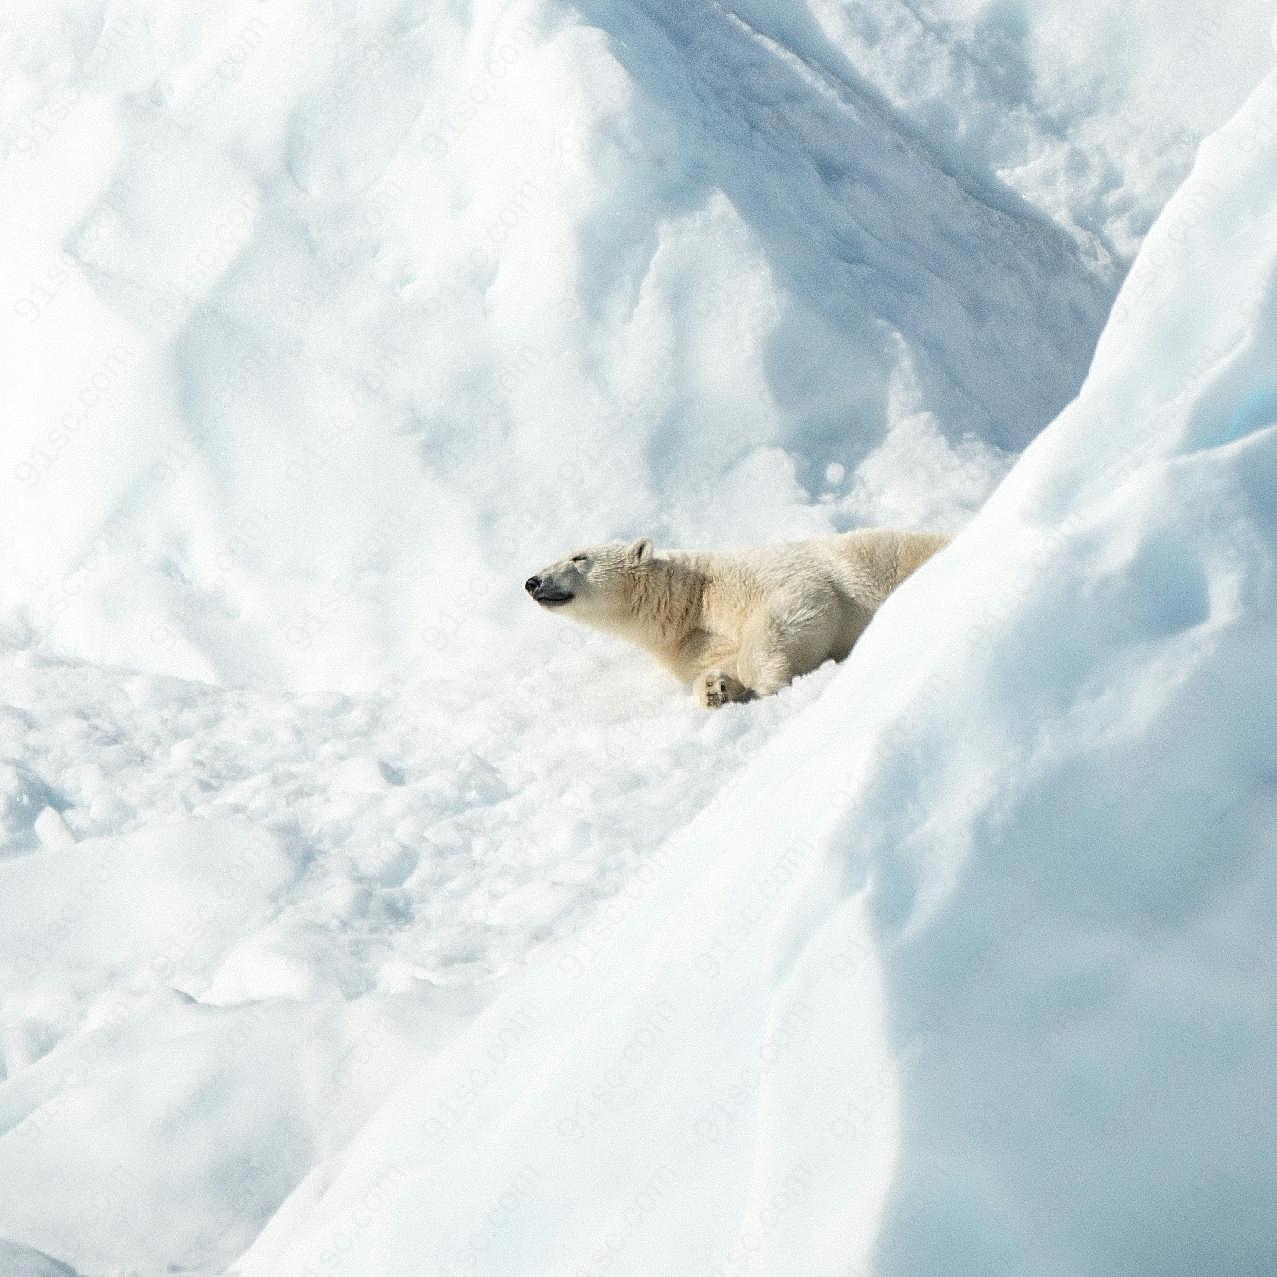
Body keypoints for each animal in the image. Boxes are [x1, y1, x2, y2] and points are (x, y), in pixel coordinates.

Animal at [523, 528, 955, 710]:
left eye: (578, 557)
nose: (532, 581)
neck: (689, 599)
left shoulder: (751, 578)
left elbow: (799, 604)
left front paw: (767, 683)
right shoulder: (691, 643)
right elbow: (718, 662)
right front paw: (716, 689)